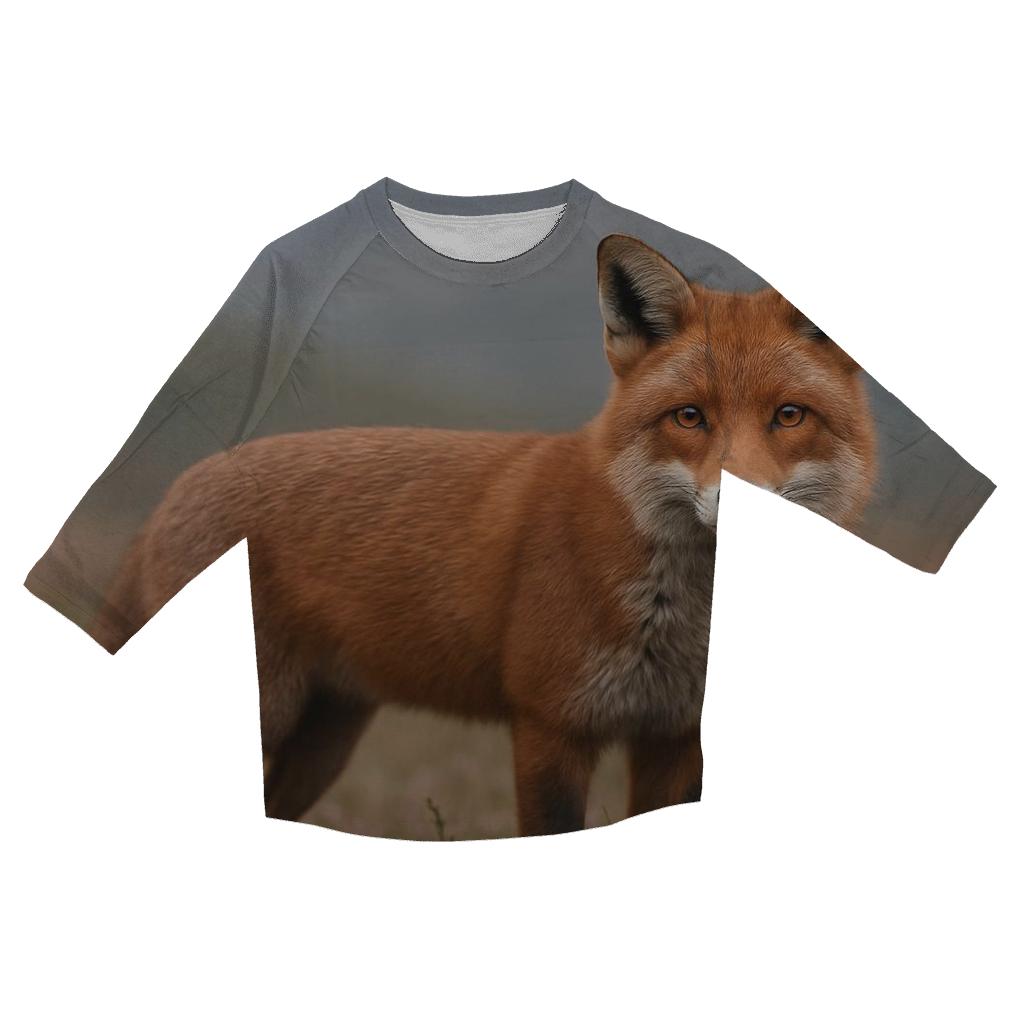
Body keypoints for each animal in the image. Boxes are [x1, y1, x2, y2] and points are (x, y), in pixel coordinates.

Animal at [101, 234, 877, 838]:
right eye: (689, 417)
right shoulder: (550, 724)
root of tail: (174, 491)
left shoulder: (674, 737)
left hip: (323, 739)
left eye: (788, 415)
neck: (680, 622)